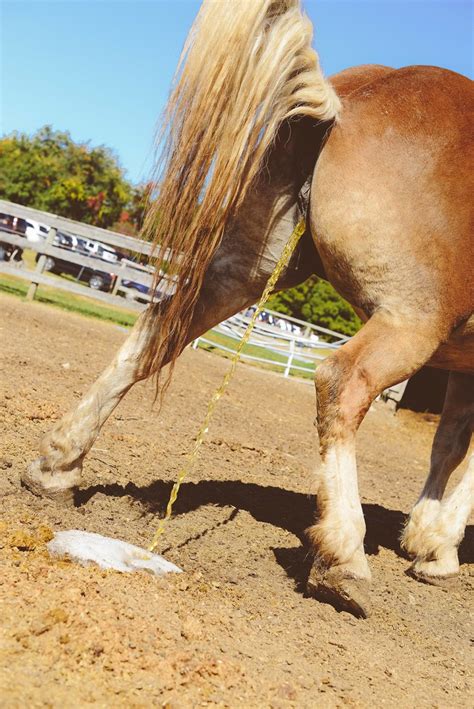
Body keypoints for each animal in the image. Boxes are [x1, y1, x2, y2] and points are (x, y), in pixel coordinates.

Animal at [24, 0, 472, 616]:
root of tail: (352, 102)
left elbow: (448, 444)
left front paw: (428, 542)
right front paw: (439, 543)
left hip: (244, 271)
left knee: (156, 330)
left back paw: (57, 465)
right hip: (410, 321)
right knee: (341, 383)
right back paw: (344, 557)